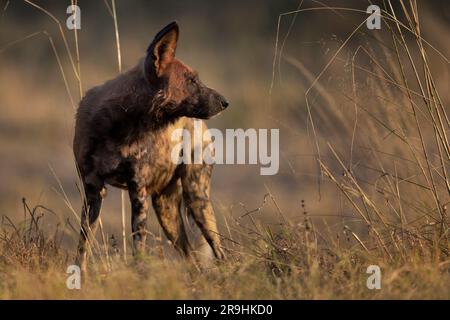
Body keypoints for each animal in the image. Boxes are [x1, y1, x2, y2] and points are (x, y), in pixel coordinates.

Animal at [75, 21, 229, 272]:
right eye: (191, 80)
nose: (225, 102)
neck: (120, 125)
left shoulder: (138, 192)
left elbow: (138, 252)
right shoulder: (93, 191)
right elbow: (82, 248)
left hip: (197, 200)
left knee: (220, 252)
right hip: (167, 211)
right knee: (192, 260)